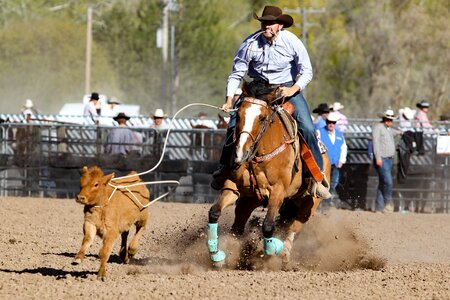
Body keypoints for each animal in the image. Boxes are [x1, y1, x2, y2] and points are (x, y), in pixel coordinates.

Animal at [207, 81, 330, 268]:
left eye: (262, 118)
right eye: (239, 115)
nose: (240, 154)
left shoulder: (278, 192)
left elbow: (268, 226)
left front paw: (273, 249)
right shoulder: (232, 187)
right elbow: (214, 212)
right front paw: (217, 256)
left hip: (310, 204)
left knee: (293, 227)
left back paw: (284, 254)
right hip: (249, 200)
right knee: (237, 227)